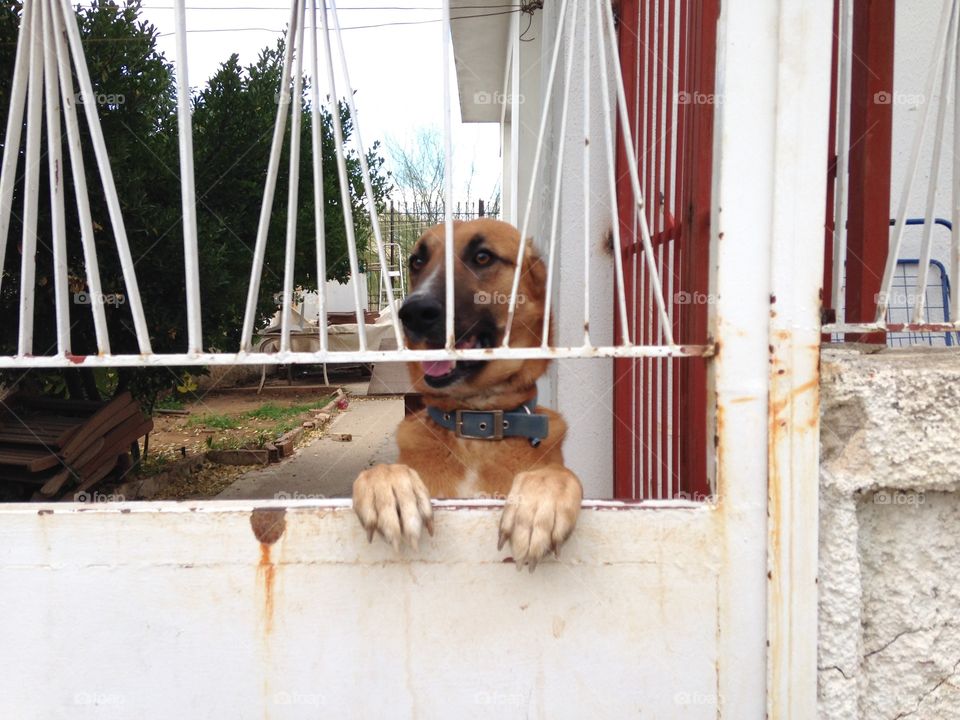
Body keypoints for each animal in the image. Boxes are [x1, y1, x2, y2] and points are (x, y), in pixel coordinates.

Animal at [348, 217, 580, 572]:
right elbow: (382, 470)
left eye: (482, 257)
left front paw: (541, 500)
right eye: (417, 261)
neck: (475, 426)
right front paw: (389, 486)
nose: (413, 312)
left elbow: (559, 473)